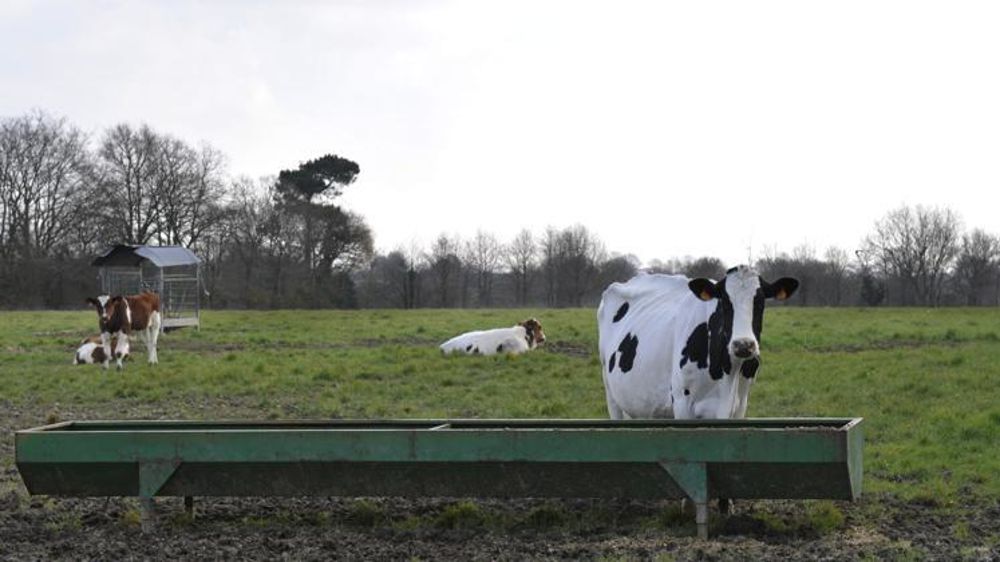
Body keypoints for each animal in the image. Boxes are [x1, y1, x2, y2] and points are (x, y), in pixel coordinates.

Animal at [598, 266, 798, 421]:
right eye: (724, 302)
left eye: (760, 301)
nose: (743, 345)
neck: (728, 373)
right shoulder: (682, 404)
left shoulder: (740, 406)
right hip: (612, 396)